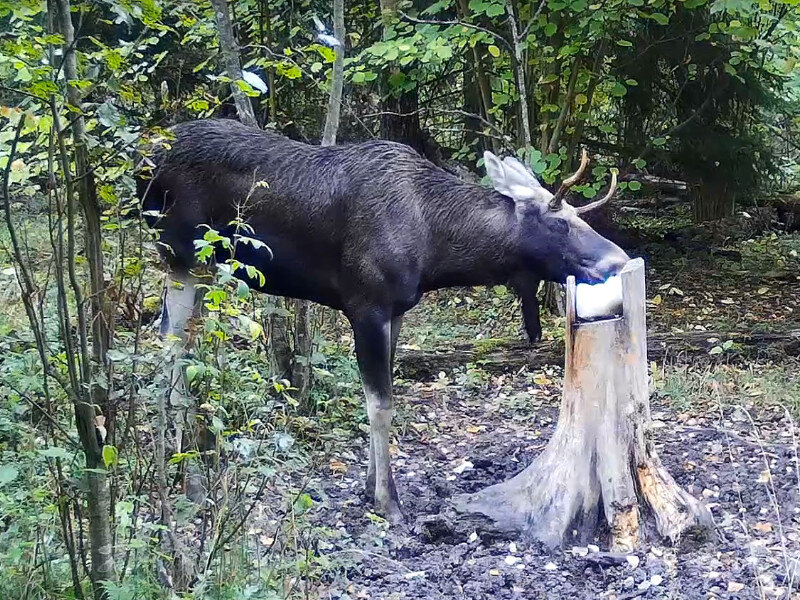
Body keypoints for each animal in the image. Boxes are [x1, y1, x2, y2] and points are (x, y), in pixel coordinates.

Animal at [142, 117, 632, 520]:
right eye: (560, 223)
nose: (618, 258)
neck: (438, 252)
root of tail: (145, 162)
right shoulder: (367, 305)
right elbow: (381, 404)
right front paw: (388, 501)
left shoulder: (395, 311)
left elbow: (379, 395)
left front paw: (367, 486)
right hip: (183, 257)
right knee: (166, 350)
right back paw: (181, 479)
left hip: (202, 268)